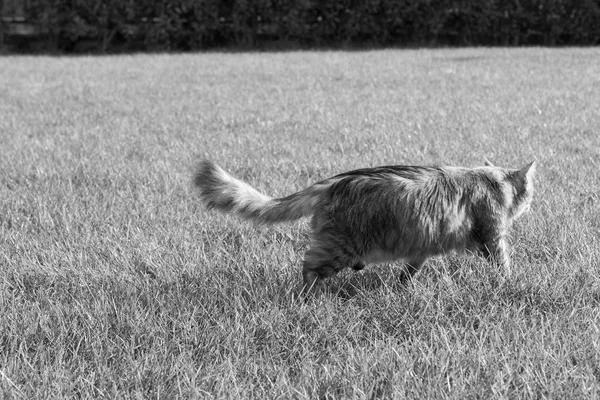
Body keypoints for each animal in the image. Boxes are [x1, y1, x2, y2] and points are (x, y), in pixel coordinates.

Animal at [195, 159, 536, 294]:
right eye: (531, 190)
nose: (533, 200)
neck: (490, 180)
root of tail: (331, 183)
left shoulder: (421, 246)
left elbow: (408, 271)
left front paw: (402, 288)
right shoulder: (493, 235)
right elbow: (503, 263)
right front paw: (509, 281)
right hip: (339, 248)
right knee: (308, 266)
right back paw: (307, 295)